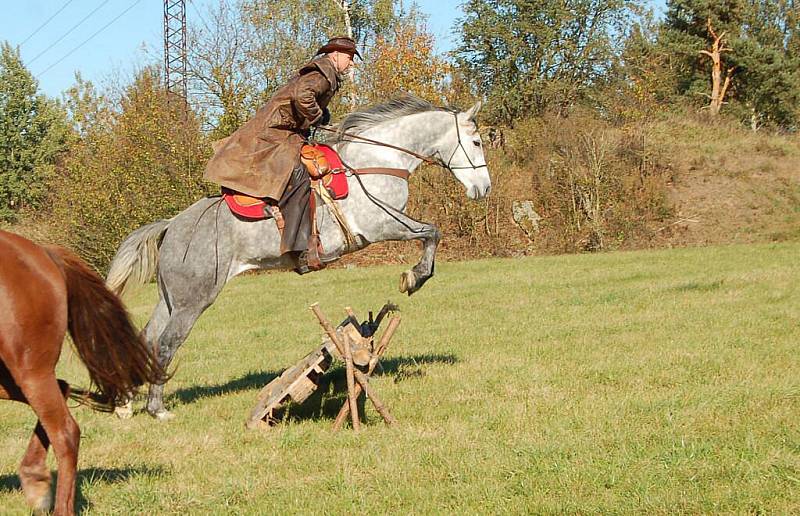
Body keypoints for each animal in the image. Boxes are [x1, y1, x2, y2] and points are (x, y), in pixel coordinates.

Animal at [106, 95, 494, 420]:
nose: (484, 188)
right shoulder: (382, 224)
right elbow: (432, 233)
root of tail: (172, 225)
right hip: (193, 300)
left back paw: (126, 405)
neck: (378, 162)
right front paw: (414, 277)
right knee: (167, 343)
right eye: (476, 142)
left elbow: (431, 234)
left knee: (146, 339)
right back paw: (157, 409)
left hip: (170, 299)